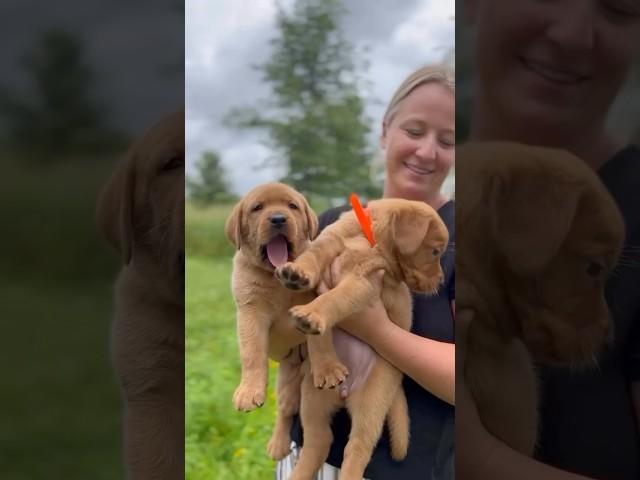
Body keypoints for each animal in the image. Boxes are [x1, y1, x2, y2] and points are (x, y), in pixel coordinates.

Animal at [226, 182, 350, 460]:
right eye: (257, 208)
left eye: (292, 206)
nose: (278, 218)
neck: (277, 276)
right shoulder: (250, 311)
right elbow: (251, 354)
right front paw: (249, 391)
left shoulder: (315, 299)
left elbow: (320, 340)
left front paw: (328, 369)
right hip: (285, 382)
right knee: (284, 411)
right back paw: (277, 444)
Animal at [276, 198, 450, 480]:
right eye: (435, 252)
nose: (442, 280)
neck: (366, 237)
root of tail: (345, 391)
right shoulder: (329, 242)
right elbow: (312, 255)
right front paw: (297, 271)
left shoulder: (362, 283)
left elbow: (334, 298)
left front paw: (312, 313)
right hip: (312, 398)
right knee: (318, 439)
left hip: (372, 400)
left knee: (357, 448)